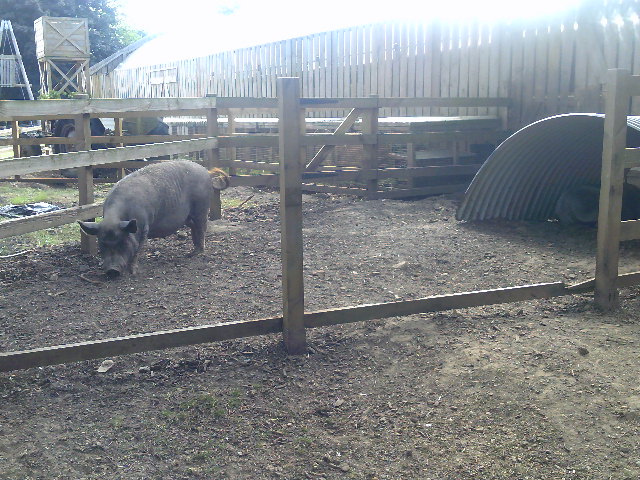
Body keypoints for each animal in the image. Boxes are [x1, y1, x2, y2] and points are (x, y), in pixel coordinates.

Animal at [79, 160, 229, 278]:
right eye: (102, 244)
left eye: (123, 243)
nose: (112, 270)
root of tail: (207, 173)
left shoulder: (144, 227)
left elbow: (137, 249)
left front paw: (133, 272)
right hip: (188, 216)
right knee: (194, 228)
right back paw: (191, 253)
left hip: (201, 207)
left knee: (202, 227)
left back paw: (198, 253)